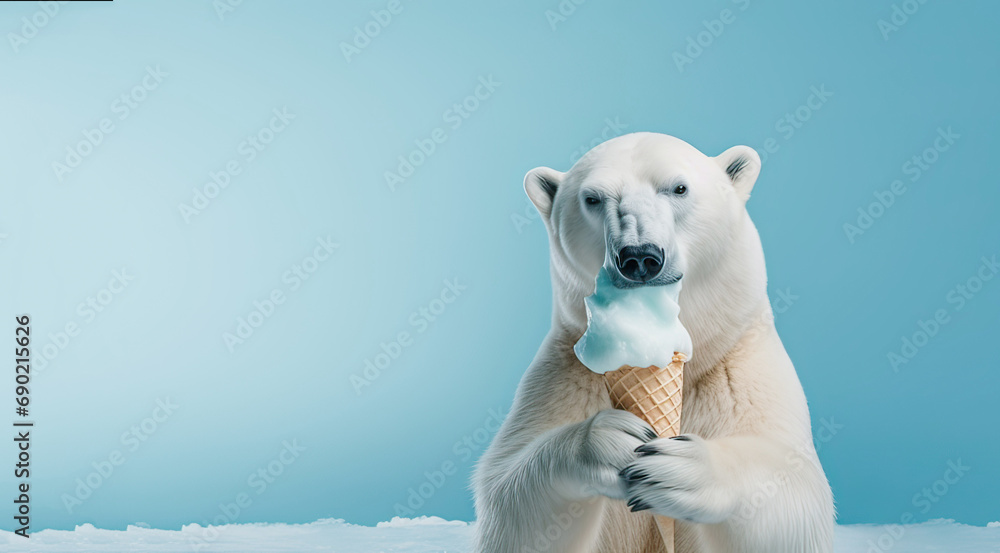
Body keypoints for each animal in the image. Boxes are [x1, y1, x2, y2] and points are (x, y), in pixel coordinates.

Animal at [473, 132, 834, 553]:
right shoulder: (568, 373)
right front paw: (612, 442)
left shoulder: (740, 367)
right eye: (592, 198)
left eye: (679, 188)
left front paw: (680, 468)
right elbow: (507, 499)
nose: (640, 257)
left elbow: (797, 498)